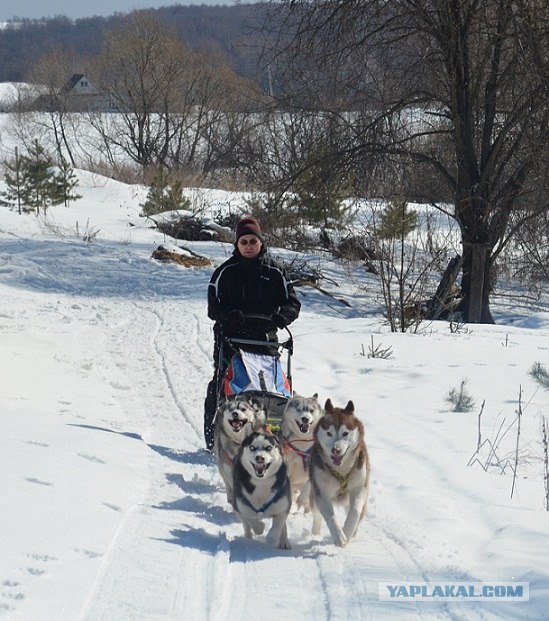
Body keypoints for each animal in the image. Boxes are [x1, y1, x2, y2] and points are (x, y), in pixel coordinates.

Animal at [308, 398, 368, 548]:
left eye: (345, 433)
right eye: (329, 433)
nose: (335, 450)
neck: (341, 470)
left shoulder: (359, 488)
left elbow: (355, 512)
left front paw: (347, 532)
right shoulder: (321, 492)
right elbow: (330, 516)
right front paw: (339, 536)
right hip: (314, 497)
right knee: (317, 516)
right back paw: (315, 534)